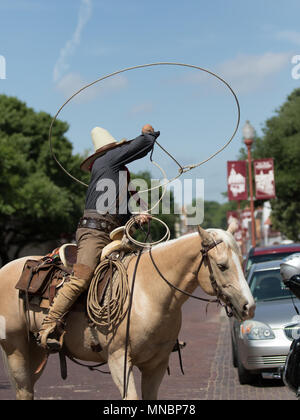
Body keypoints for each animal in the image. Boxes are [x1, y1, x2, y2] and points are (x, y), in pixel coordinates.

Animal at [0, 223, 255, 400]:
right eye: (222, 265)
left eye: (242, 260)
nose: (249, 306)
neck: (149, 291)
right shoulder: (118, 359)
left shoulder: (157, 363)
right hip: (15, 348)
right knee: (23, 390)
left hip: (36, 351)